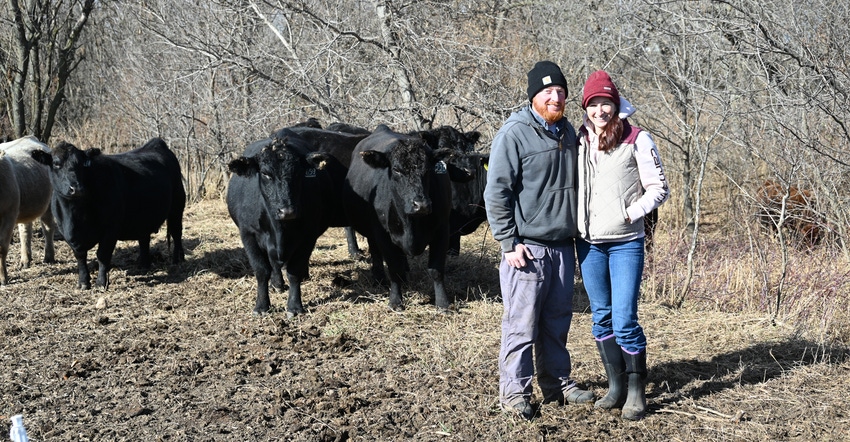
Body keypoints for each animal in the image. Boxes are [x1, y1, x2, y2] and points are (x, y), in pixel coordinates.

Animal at [34, 139, 186, 290]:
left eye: (81, 164)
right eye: (56, 163)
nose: (76, 188)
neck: (75, 216)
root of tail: (156, 143)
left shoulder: (111, 229)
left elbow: (102, 255)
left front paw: (101, 283)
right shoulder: (67, 233)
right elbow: (80, 256)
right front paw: (83, 282)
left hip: (177, 207)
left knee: (176, 233)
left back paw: (178, 259)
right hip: (143, 217)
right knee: (144, 239)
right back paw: (143, 265)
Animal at [229, 129, 344, 316]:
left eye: (298, 173)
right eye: (266, 174)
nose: (287, 211)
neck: (279, 230)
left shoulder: (308, 236)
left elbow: (294, 271)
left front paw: (295, 306)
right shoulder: (248, 234)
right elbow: (261, 270)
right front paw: (261, 305)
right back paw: (277, 284)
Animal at [342, 124, 454, 310]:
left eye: (428, 169)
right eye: (396, 169)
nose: (421, 205)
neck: (412, 224)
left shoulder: (442, 230)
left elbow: (436, 270)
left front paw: (443, 303)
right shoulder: (383, 235)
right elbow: (393, 268)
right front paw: (395, 301)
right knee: (376, 253)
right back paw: (379, 278)